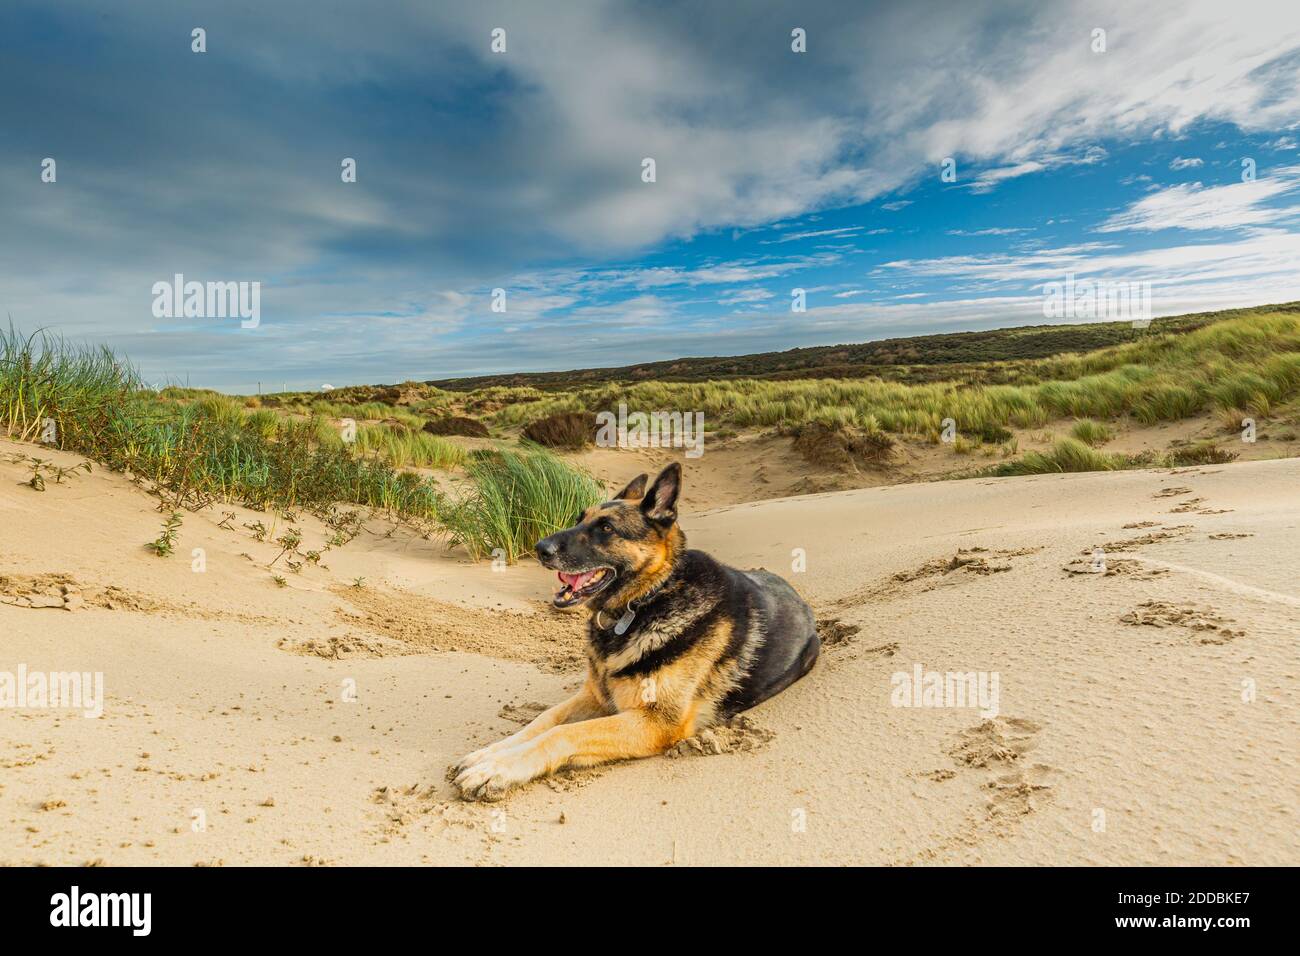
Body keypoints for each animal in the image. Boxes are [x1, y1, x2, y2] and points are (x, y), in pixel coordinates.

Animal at [452, 463, 816, 801]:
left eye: (606, 528)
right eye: (580, 518)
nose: (540, 547)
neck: (647, 599)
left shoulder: (656, 723)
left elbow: (563, 733)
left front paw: (498, 770)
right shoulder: (595, 696)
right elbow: (542, 720)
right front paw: (488, 754)